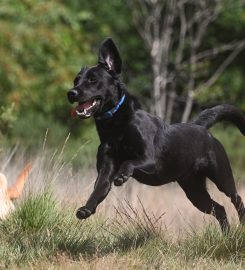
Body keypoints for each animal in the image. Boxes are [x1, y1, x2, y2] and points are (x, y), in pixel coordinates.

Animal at [67, 38, 245, 232]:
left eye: (93, 80)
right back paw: (226, 234)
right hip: (194, 189)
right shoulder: (106, 169)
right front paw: (87, 209)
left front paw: (122, 176)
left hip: (221, 176)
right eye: (76, 80)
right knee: (219, 209)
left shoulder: (150, 160)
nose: (71, 93)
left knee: (236, 198)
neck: (116, 126)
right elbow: (99, 188)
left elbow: (129, 162)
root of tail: (201, 127)